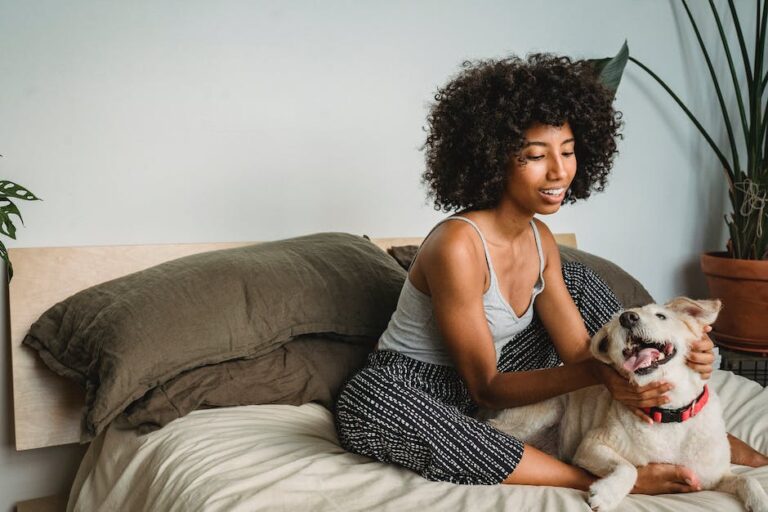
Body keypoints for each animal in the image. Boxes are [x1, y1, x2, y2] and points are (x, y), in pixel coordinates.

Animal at [480, 298, 768, 510]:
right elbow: (629, 468)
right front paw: (606, 494)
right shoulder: (591, 445)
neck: (669, 414)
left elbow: (745, 479)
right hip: (548, 409)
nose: (627, 318)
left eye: (661, 316)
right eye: (619, 321)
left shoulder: (715, 477)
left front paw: (760, 500)